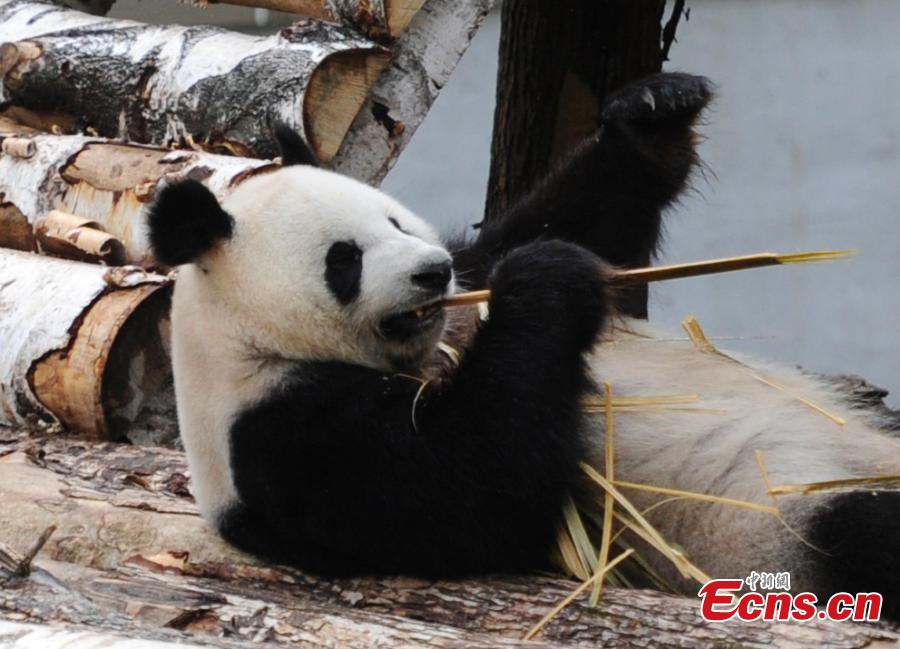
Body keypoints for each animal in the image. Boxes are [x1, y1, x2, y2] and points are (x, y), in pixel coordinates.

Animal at [147, 72, 900, 619]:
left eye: (394, 219)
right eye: (345, 259)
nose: (431, 274)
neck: (245, 338)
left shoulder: (470, 271)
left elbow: (569, 223)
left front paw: (651, 114)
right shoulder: (284, 436)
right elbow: (476, 483)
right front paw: (545, 280)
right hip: (774, 525)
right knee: (861, 533)